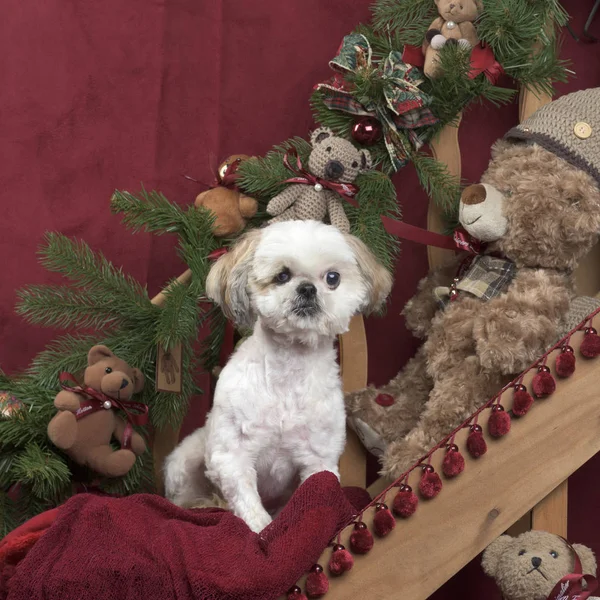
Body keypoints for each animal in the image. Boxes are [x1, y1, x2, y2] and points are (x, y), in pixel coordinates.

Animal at [163, 219, 394, 528]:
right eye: (282, 276)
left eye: (332, 278)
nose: (307, 289)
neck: (288, 372)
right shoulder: (231, 457)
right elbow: (251, 509)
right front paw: (262, 529)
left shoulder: (318, 459)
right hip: (186, 460)